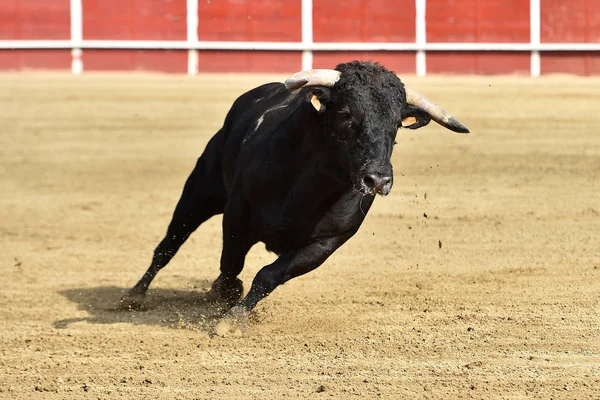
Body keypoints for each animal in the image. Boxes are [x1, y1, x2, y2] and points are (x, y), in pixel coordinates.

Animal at [120, 61, 468, 332]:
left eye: (397, 123)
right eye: (346, 113)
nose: (378, 179)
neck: (311, 189)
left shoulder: (326, 244)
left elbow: (268, 275)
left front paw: (232, 317)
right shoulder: (236, 217)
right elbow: (231, 264)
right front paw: (225, 297)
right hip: (200, 190)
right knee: (169, 244)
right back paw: (133, 296)